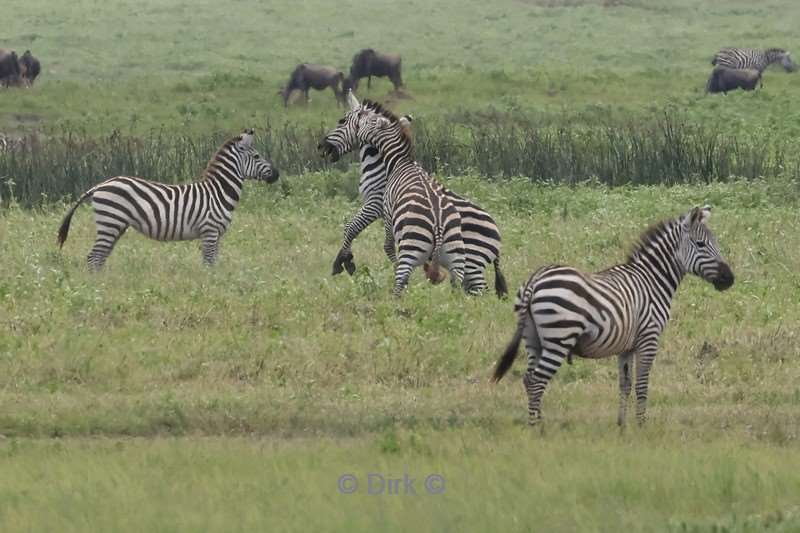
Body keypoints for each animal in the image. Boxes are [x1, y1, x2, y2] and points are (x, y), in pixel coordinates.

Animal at [55, 129, 278, 270]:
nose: (277, 174)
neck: (217, 191)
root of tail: (100, 185)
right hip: (111, 221)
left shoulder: (217, 235)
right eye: (257, 157)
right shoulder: (209, 231)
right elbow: (209, 264)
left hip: (115, 225)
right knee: (94, 257)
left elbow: (214, 262)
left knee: (100, 257)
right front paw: (210, 288)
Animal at [330, 116, 506, 298]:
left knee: (404, 278)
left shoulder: (384, 208)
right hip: (457, 257)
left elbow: (375, 238)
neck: (401, 162)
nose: (324, 148)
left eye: (346, 121)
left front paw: (343, 262)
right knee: (463, 286)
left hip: (444, 255)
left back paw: (397, 300)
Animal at [494, 206, 736, 426]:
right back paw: (538, 429)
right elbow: (641, 385)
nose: (729, 279)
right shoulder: (649, 338)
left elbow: (625, 384)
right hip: (559, 338)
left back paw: (536, 422)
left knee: (529, 379)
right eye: (701, 244)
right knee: (537, 381)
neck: (652, 279)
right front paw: (641, 425)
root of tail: (535, 280)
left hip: (533, 338)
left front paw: (622, 425)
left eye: (715, 243)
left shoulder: (626, 346)